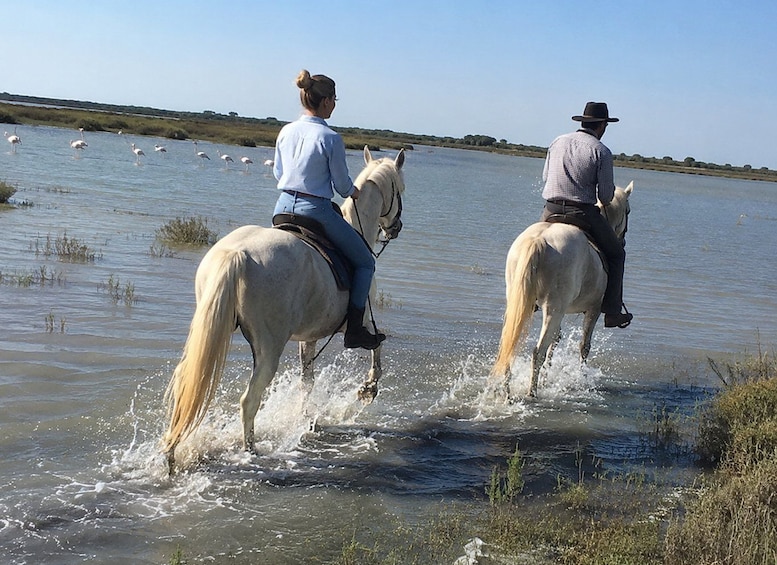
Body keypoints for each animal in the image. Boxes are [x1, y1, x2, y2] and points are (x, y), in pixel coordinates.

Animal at [162, 146, 406, 472]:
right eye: (400, 190)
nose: (395, 228)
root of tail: (236, 254)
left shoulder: (309, 337)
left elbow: (307, 381)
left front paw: (306, 419)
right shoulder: (364, 320)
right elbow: (377, 348)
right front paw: (368, 389)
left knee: (185, 388)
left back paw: (171, 454)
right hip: (269, 347)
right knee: (249, 401)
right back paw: (250, 451)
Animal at [491, 182, 633, 398]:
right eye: (628, 210)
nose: (623, 241)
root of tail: (538, 240)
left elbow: (555, 340)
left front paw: (547, 378)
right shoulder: (593, 310)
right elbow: (584, 346)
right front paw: (581, 379)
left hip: (523, 304)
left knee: (509, 345)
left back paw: (507, 392)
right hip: (554, 309)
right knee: (537, 352)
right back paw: (532, 393)